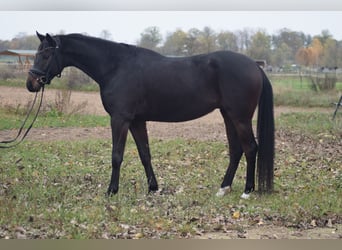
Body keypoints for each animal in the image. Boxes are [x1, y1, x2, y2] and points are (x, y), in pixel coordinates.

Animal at [26, 32, 276, 198]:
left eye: (46, 55)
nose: (31, 83)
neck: (116, 66)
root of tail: (255, 66)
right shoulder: (137, 121)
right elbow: (145, 153)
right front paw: (153, 188)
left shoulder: (120, 119)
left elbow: (117, 155)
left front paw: (111, 191)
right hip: (228, 115)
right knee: (236, 150)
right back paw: (223, 188)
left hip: (240, 117)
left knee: (250, 148)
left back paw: (247, 191)